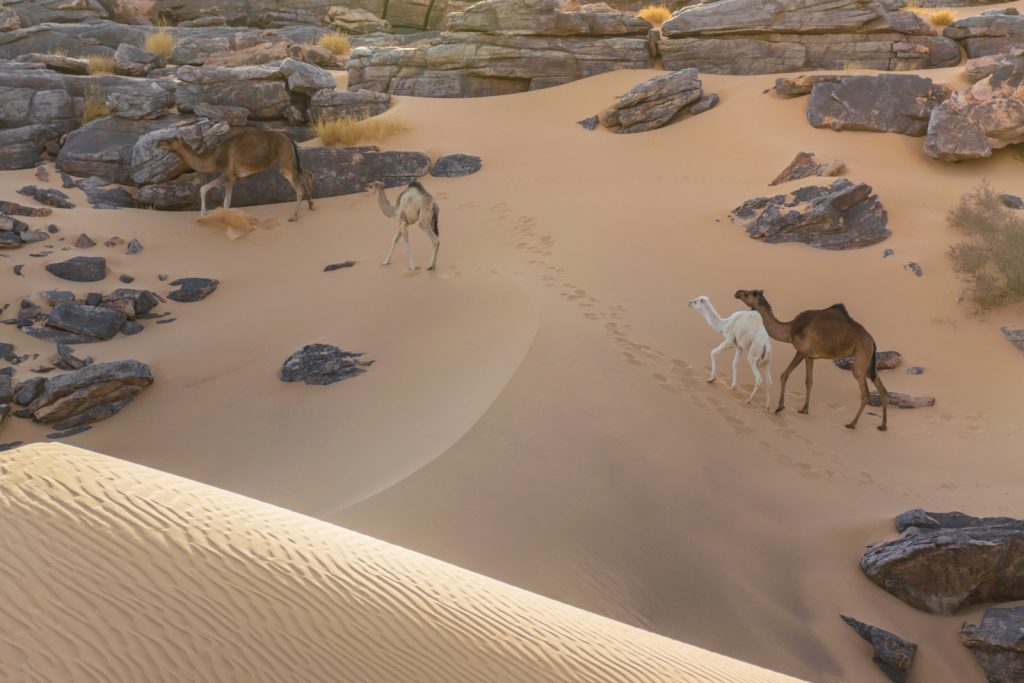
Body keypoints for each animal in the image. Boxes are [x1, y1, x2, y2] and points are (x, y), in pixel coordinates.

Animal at [155, 127, 313, 222]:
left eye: (170, 140)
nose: (157, 143)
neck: (213, 159)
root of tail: (289, 140)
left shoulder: (229, 175)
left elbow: (226, 203)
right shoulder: (229, 176)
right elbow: (204, 188)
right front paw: (203, 215)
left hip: (285, 162)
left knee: (299, 188)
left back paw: (293, 216)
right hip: (291, 161)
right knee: (307, 174)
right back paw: (311, 205)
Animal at [737, 290, 888, 432]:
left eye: (748, 293)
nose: (737, 292)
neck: (790, 329)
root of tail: (872, 341)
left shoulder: (801, 351)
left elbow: (784, 375)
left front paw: (780, 407)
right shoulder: (810, 357)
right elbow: (809, 382)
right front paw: (804, 409)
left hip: (860, 359)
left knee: (865, 393)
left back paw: (852, 424)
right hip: (868, 363)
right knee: (882, 388)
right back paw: (883, 426)